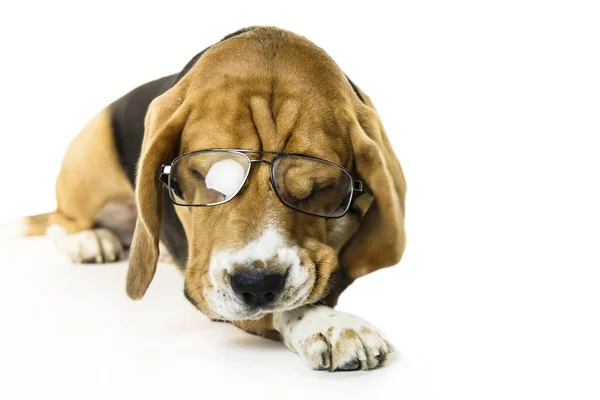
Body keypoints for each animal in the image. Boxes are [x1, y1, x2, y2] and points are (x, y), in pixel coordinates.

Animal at [18, 26, 406, 372]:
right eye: (204, 174)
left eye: (319, 188)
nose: (256, 284)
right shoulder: (208, 286)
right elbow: (286, 307)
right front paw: (331, 324)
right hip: (91, 152)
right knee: (59, 220)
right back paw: (87, 240)